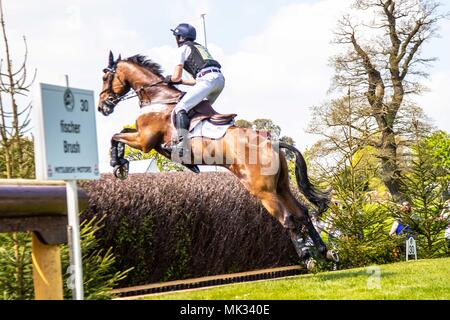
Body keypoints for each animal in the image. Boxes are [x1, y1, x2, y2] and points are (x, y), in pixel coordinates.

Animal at [96, 52, 340, 268]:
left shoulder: (145, 141)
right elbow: (120, 132)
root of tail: (274, 143)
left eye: (105, 77)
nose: (102, 106)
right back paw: (324, 251)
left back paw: (306, 256)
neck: (158, 97)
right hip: (281, 187)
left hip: (263, 191)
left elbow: (115, 135)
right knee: (303, 213)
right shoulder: (145, 139)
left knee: (288, 218)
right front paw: (120, 163)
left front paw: (118, 164)